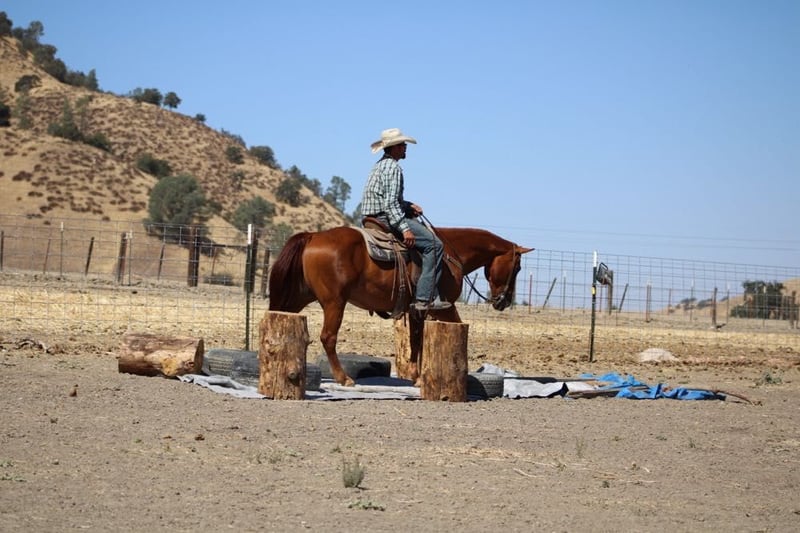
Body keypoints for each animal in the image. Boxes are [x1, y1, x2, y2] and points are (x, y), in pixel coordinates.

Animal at [268, 225, 534, 386]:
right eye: (517, 267)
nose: (504, 301)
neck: (451, 253)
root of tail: (313, 235)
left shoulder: (417, 310)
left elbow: (417, 342)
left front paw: (417, 376)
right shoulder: (444, 306)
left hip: (299, 297)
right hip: (334, 302)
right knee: (328, 337)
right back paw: (344, 378)